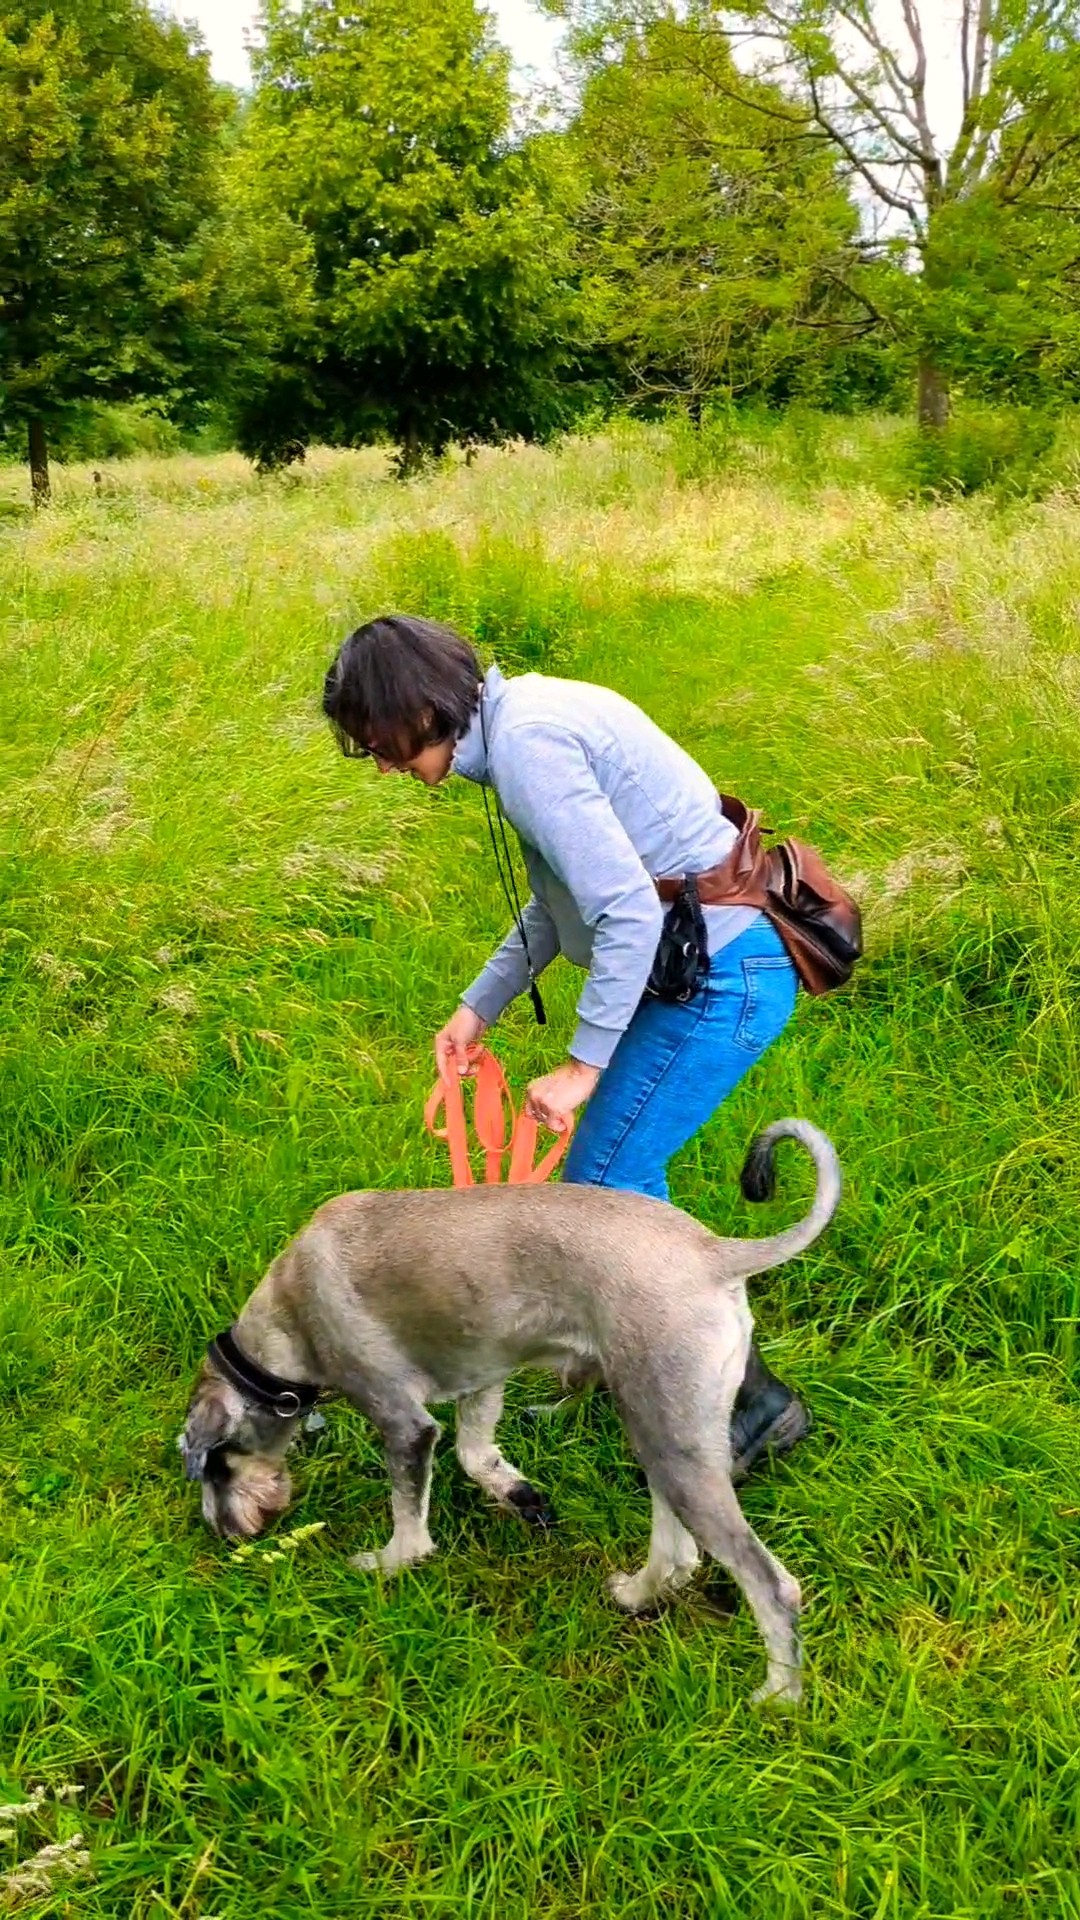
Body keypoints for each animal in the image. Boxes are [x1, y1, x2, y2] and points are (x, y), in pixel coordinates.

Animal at [178, 1121, 834, 1704]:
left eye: (215, 1464)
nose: (222, 1534)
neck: (287, 1316)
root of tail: (714, 1254)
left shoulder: (401, 1422)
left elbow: (409, 1517)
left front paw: (388, 1564)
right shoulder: (484, 1374)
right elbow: (475, 1452)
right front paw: (520, 1497)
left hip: (673, 1442)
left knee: (772, 1585)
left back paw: (778, 1696)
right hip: (661, 1434)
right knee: (678, 1556)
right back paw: (634, 1595)